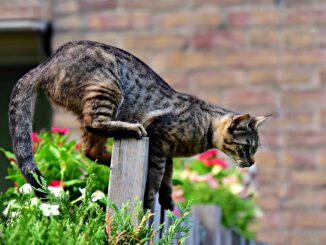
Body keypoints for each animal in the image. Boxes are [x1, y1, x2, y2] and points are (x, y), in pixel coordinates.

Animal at [8, 40, 268, 211]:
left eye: (254, 149)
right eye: (246, 148)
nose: (252, 162)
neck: (205, 126)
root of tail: (45, 64)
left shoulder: (168, 152)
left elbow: (168, 178)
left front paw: (168, 200)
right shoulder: (159, 139)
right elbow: (155, 178)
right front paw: (151, 202)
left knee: (90, 150)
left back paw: (111, 159)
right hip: (107, 88)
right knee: (96, 125)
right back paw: (131, 130)